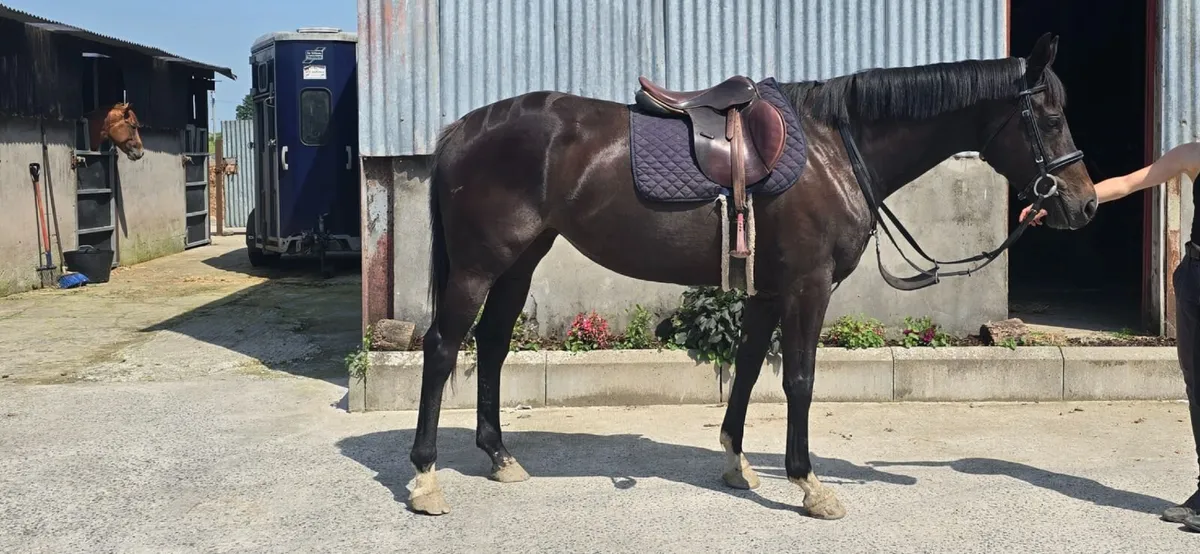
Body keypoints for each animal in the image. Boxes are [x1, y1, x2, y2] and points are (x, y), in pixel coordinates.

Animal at [405, 33, 1097, 518]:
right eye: (1050, 117)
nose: (1085, 204)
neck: (834, 148)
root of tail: (461, 130)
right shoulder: (808, 286)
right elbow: (799, 380)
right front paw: (811, 484)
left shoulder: (769, 290)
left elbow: (744, 370)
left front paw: (738, 464)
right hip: (478, 266)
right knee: (443, 348)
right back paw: (425, 478)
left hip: (520, 262)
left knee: (492, 345)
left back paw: (500, 457)